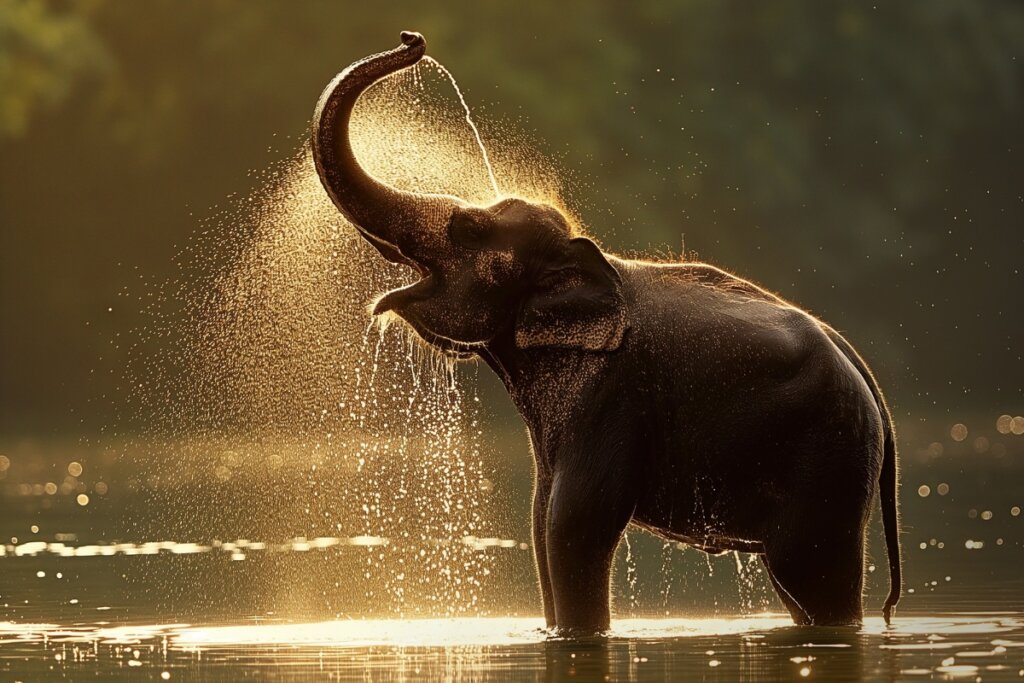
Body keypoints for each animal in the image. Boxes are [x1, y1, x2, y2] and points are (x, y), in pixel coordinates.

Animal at [311, 31, 901, 632]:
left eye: (470, 228)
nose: (412, 39)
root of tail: (873, 389)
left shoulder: (612, 395)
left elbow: (574, 526)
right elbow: (540, 524)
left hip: (828, 461)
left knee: (812, 573)